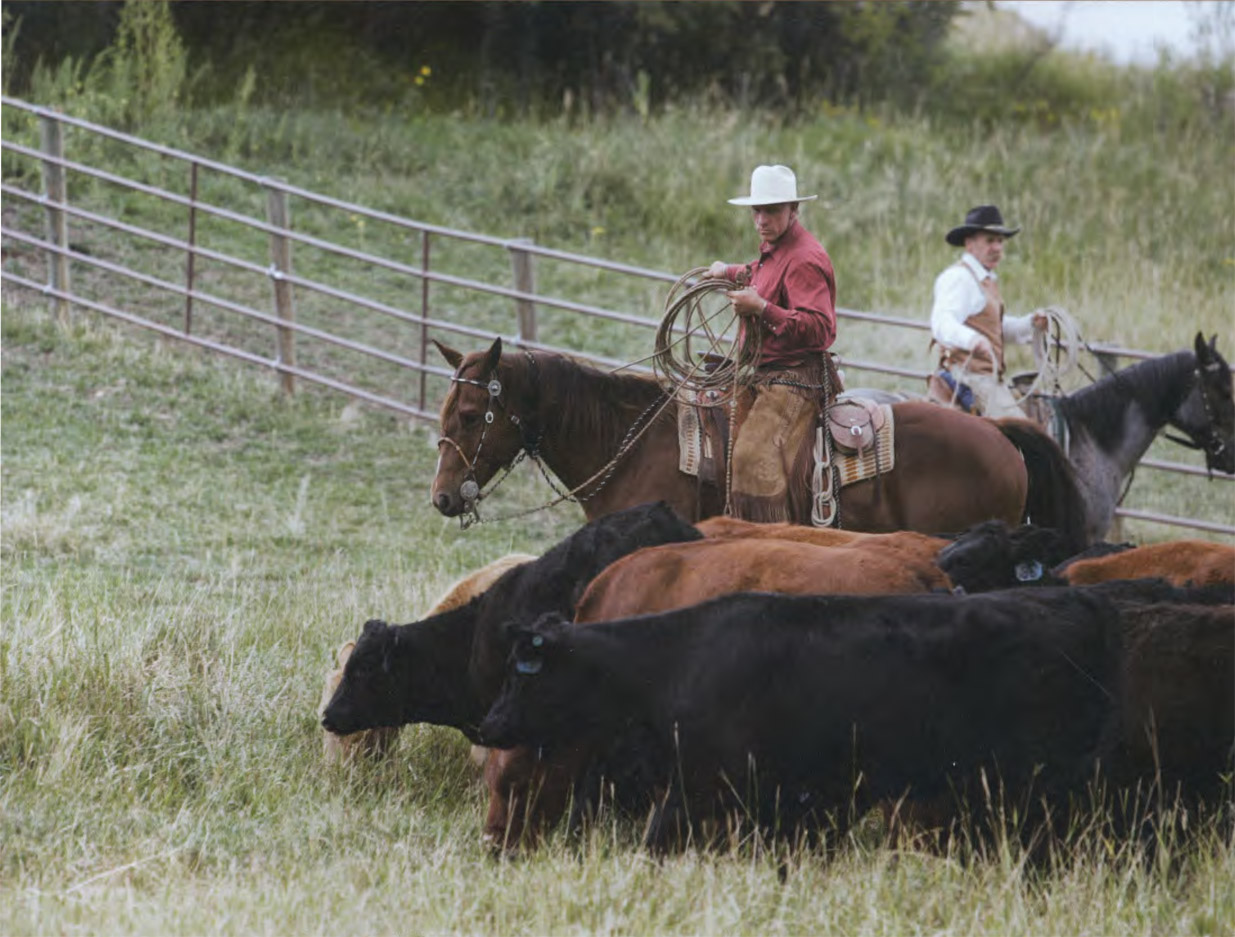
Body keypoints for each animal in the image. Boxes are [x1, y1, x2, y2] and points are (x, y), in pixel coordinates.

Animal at [476, 590, 1131, 854]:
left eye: (522, 674)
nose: (488, 725)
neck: (676, 661)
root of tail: (1077, 602)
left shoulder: (702, 784)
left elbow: (656, 842)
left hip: (1039, 780)